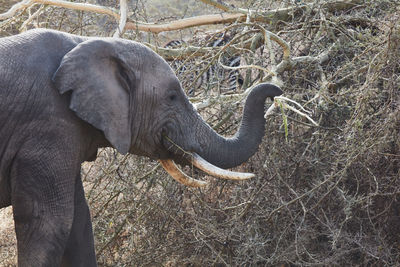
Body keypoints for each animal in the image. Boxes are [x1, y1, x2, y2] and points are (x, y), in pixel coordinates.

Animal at [0, 28, 282, 266]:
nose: (276, 91)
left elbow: (79, 224)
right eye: (172, 97)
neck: (85, 43)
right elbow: (49, 224)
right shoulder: (47, 127)